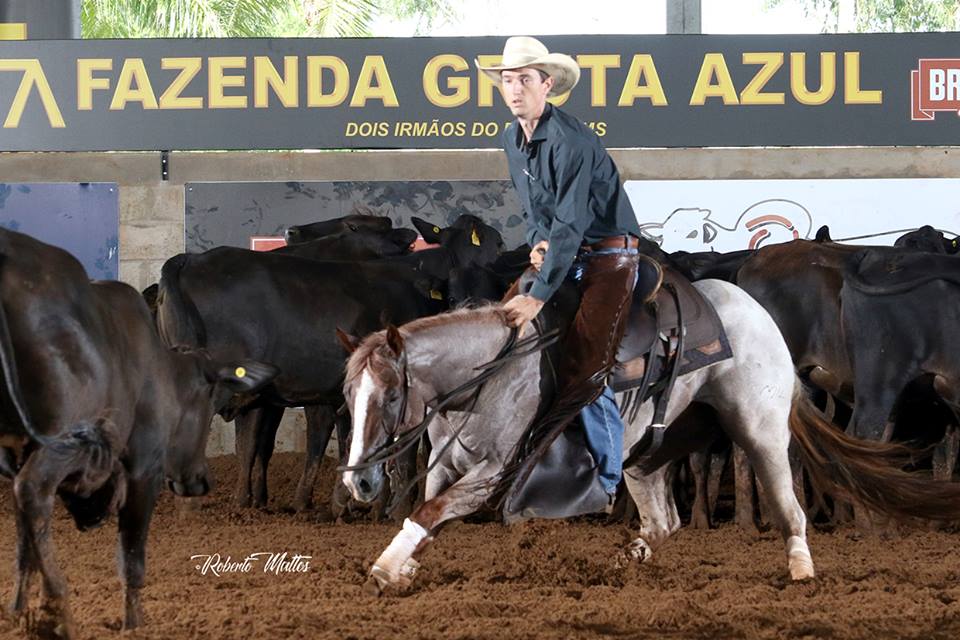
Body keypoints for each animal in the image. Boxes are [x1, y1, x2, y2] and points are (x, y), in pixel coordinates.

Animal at [0, 229, 278, 636]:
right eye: (206, 400)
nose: (200, 481)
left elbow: (23, 547)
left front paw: (20, 612)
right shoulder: (143, 466)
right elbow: (132, 556)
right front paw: (134, 624)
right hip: (62, 443)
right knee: (33, 491)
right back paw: (59, 609)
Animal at [340, 280, 960, 596]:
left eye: (390, 396)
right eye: (350, 395)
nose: (359, 482)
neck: (491, 374)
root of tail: (753, 307)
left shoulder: (493, 473)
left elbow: (431, 510)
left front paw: (383, 571)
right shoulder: (449, 463)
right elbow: (426, 510)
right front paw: (405, 566)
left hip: (759, 431)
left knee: (789, 507)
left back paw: (801, 570)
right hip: (646, 454)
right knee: (664, 522)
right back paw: (621, 563)